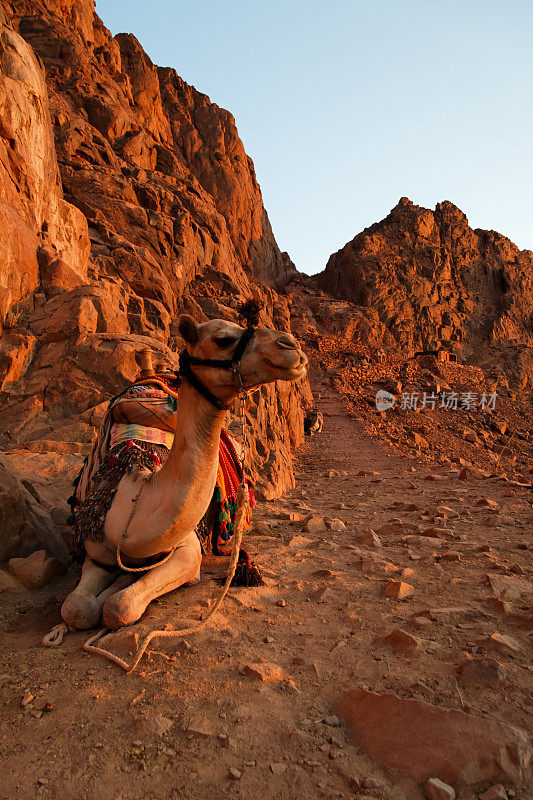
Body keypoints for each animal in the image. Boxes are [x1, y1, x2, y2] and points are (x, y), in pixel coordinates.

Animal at [59, 312, 308, 632]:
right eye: (223, 339)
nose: (291, 346)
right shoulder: (95, 552)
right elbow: (76, 608)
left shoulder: (189, 551)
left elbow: (119, 606)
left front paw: (121, 587)